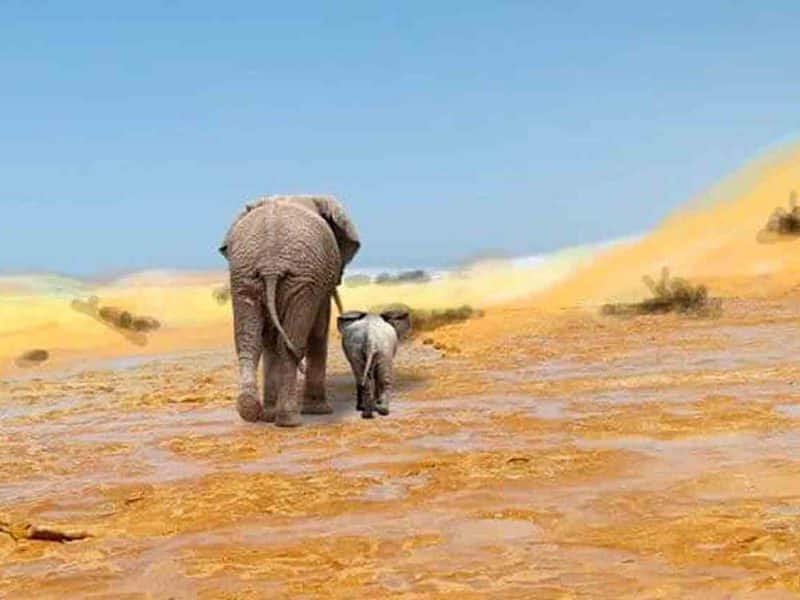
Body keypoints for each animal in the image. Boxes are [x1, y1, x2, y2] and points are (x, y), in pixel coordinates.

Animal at [217, 197, 358, 426]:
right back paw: (289, 420)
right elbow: (319, 330)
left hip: (245, 276)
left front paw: (267, 416)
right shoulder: (317, 283)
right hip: (301, 280)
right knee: (291, 342)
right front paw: (319, 412)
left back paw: (251, 409)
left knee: (249, 341)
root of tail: (270, 265)